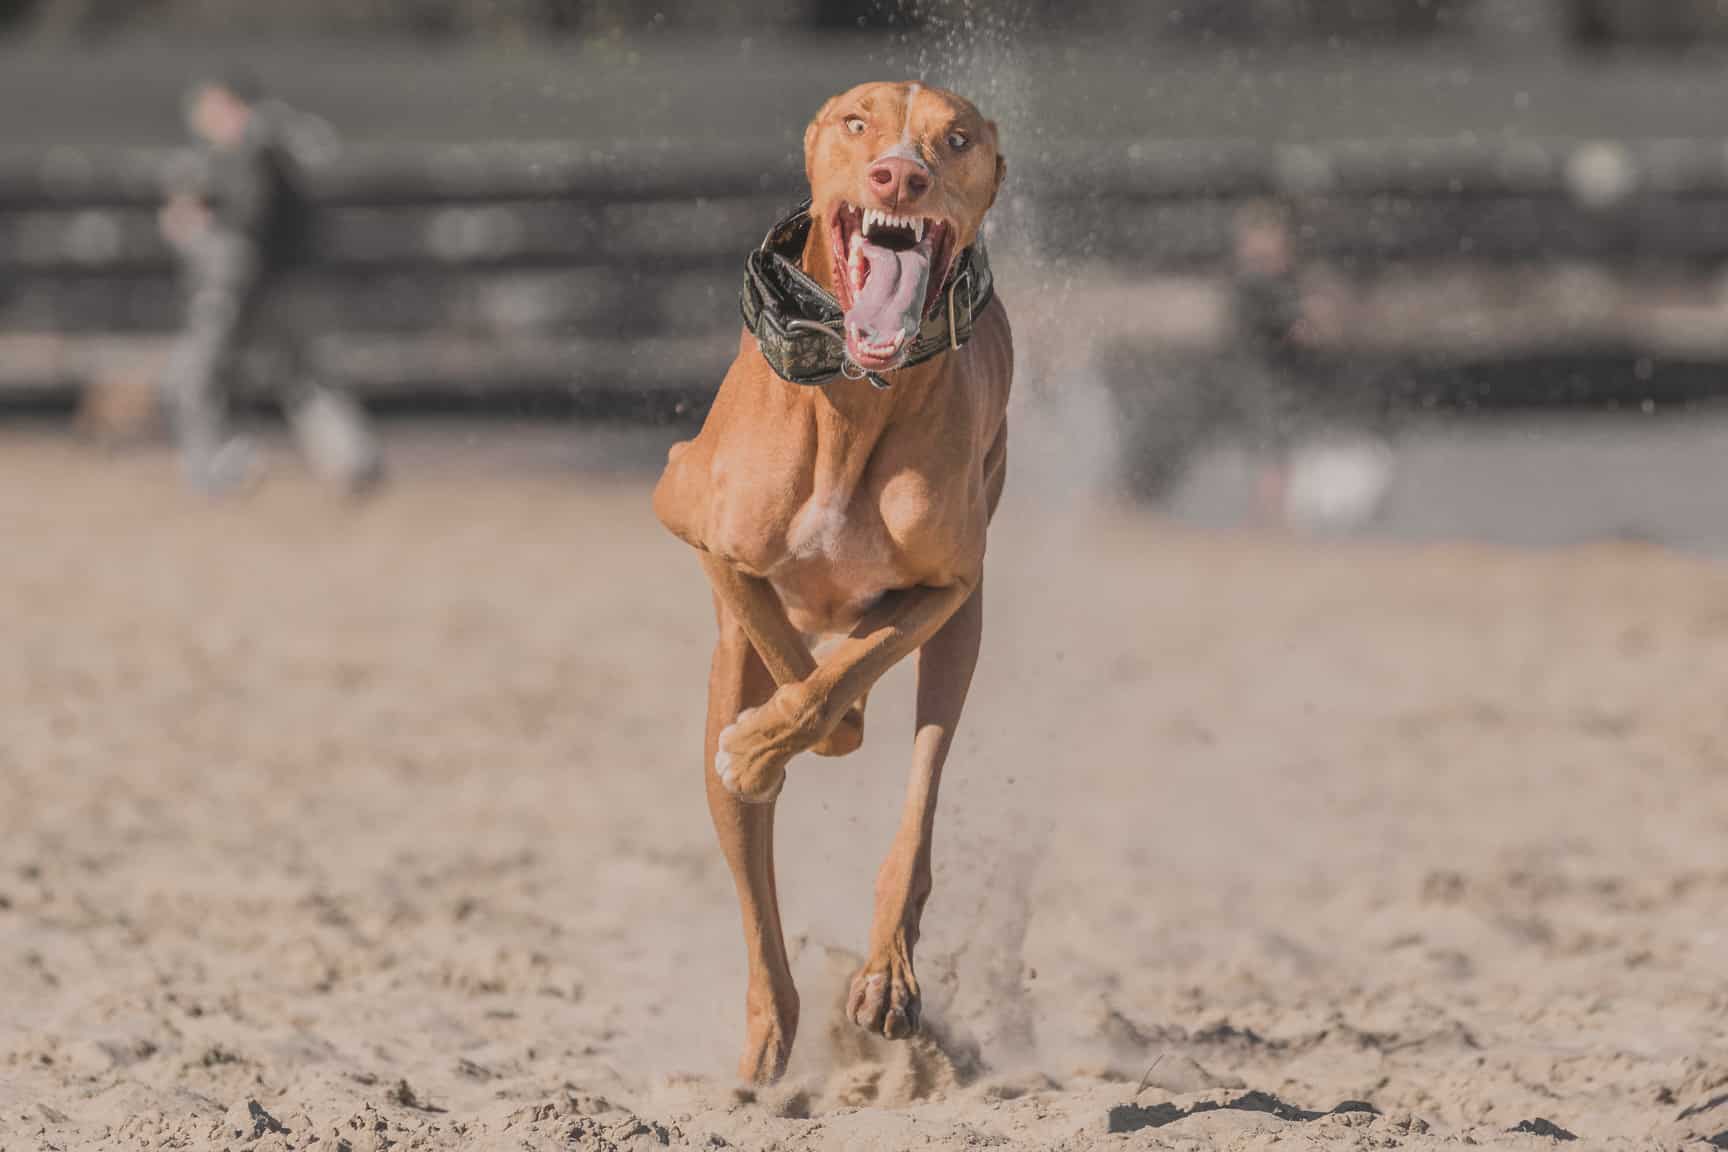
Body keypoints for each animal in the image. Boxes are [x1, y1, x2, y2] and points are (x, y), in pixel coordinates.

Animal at [656, 83, 1009, 1084]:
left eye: (955, 138)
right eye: (859, 123)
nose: (900, 174)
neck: (853, 394)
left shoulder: (946, 586)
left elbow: (838, 677)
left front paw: (795, 731)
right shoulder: (694, 519)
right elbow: (787, 651)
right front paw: (781, 738)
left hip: (962, 639)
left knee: (918, 802)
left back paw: (886, 979)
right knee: (750, 867)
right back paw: (770, 1032)